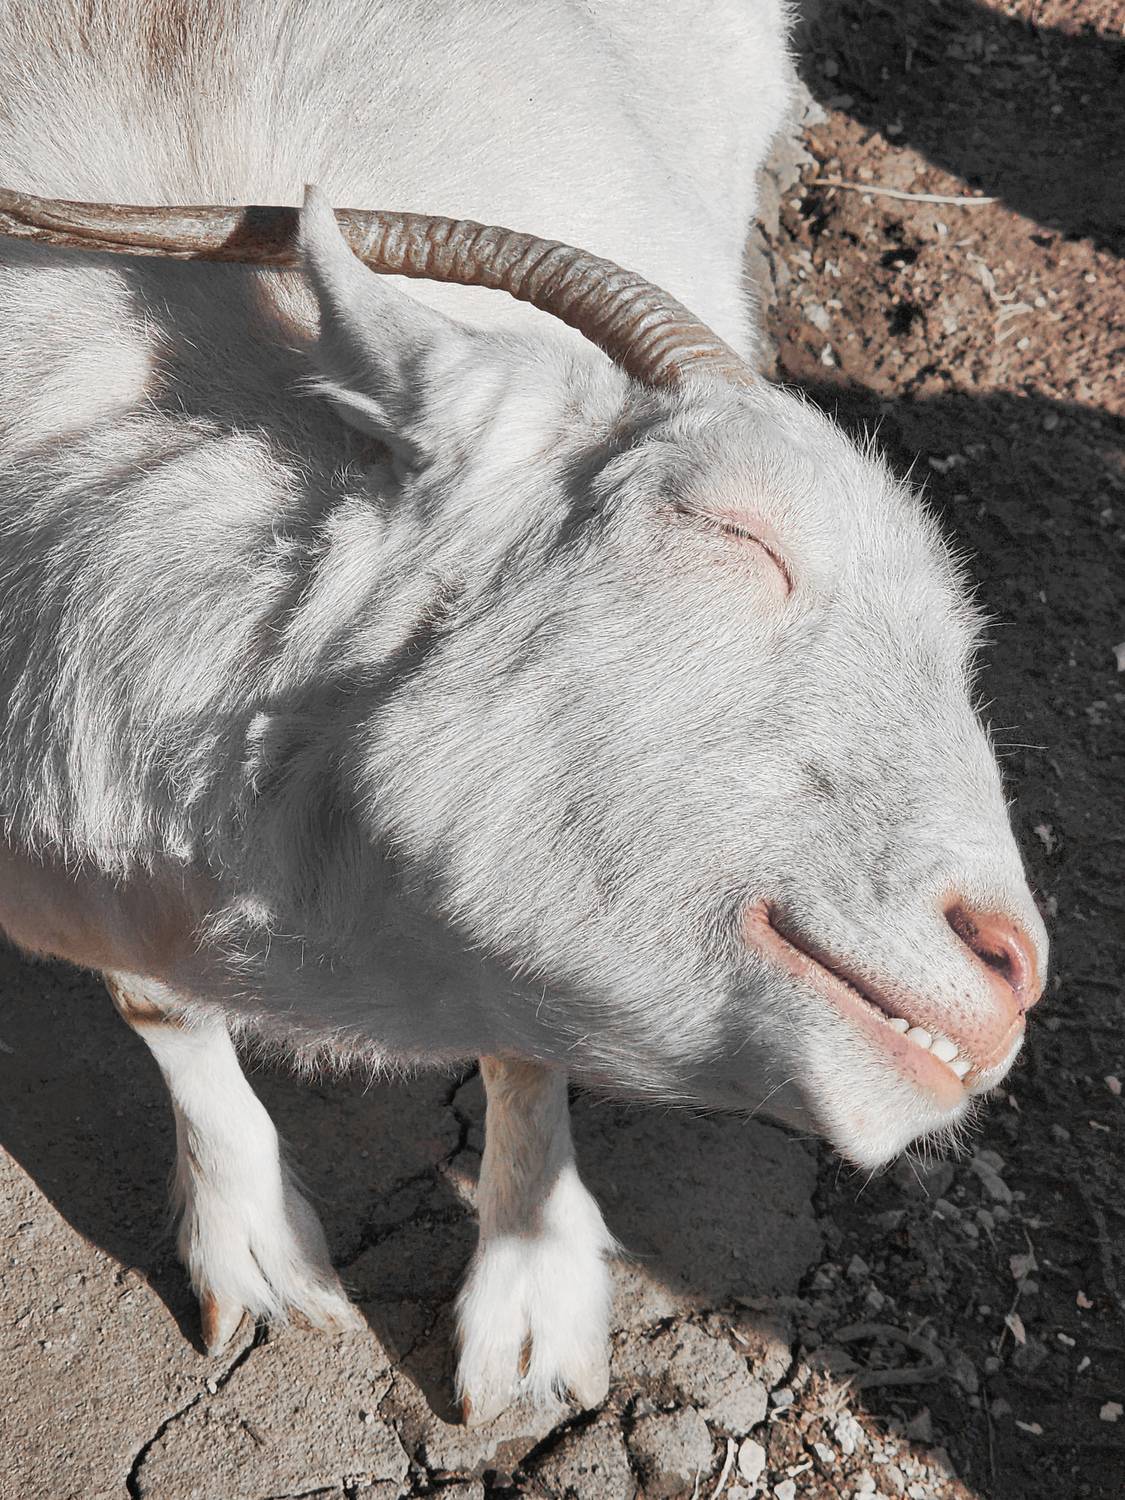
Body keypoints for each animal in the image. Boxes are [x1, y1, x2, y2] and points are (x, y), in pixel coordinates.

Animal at [0, 0, 1046, 1422]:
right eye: (733, 531)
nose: (1011, 965)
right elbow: (159, 1011)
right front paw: (257, 1260)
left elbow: (523, 1040)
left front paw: (535, 1318)